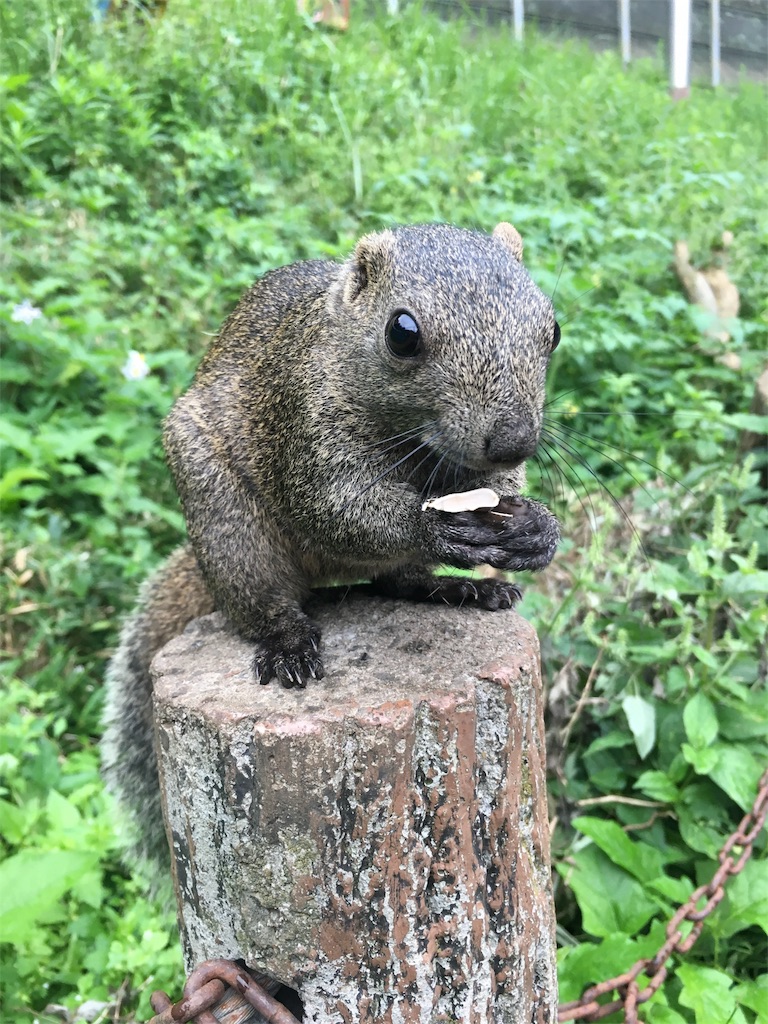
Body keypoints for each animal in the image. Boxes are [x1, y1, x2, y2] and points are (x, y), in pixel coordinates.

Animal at [100, 220, 561, 868]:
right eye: (402, 333)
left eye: (554, 329)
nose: (515, 439)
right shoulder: (301, 421)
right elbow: (332, 505)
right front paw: (433, 527)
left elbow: (502, 492)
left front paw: (537, 530)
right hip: (227, 525)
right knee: (263, 599)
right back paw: (288, 640)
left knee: (398, 582)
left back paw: (460, 592)